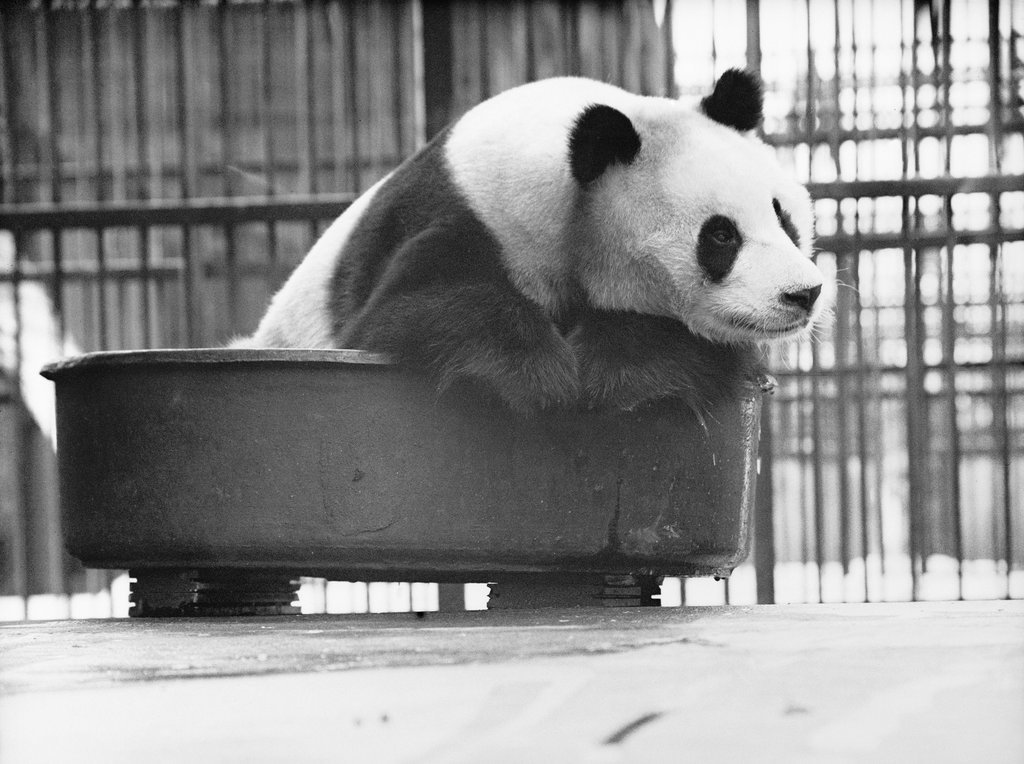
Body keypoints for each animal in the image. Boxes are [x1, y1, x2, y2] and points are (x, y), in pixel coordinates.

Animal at [237, 70, 823, 415]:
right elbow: (409, 308)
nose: (804, 294)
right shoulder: (467, 212)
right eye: (720, 235)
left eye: (783, 217)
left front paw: (622, 373)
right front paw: (537, 378)